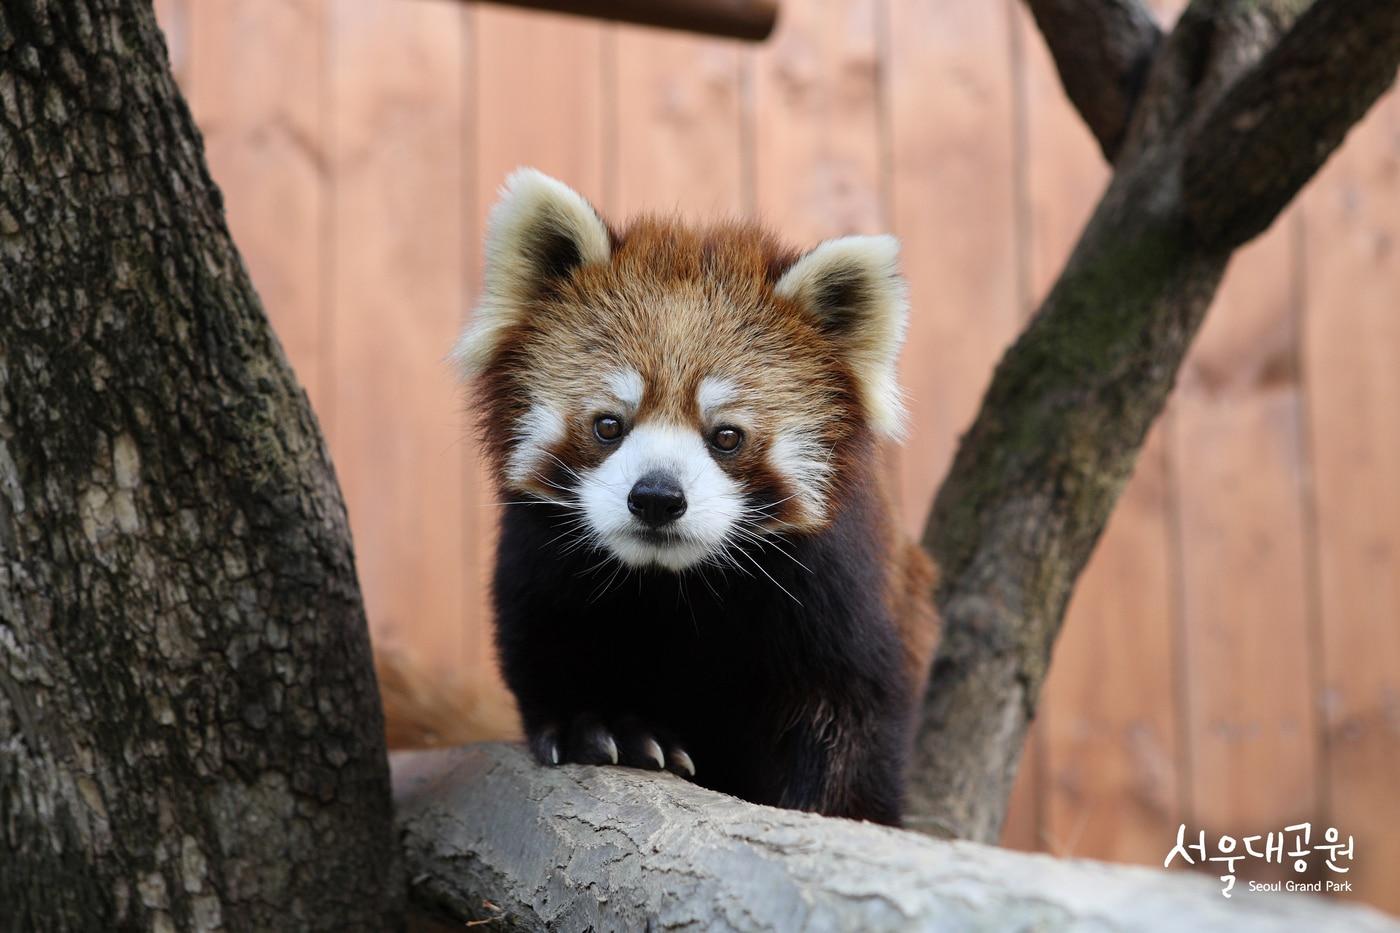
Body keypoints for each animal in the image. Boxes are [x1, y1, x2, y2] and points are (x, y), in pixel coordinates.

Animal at [462, 167, 940, 823]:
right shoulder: (544, 563)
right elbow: (548, 640)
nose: (657, 497)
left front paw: (835, 807)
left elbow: (852, 714)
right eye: (608, 425)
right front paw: (603, 726)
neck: (676, 586)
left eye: (727, 436)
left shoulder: (844, 597)